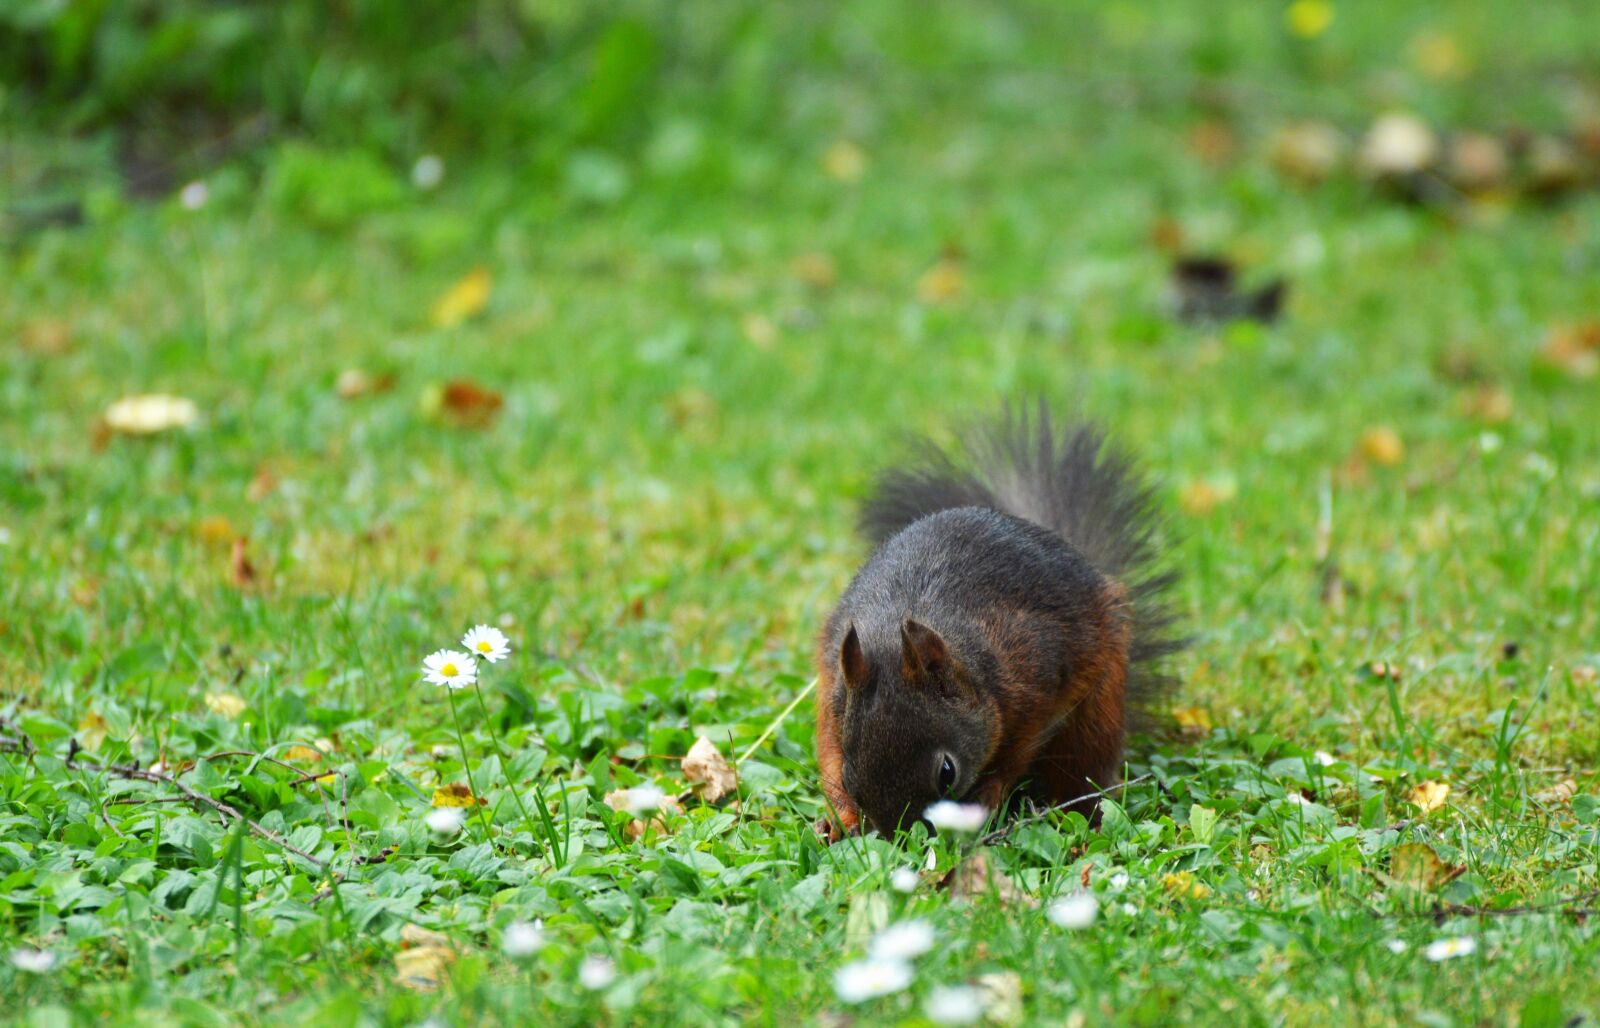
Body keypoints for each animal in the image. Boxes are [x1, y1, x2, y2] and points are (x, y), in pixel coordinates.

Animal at [814, 403, 1183, 838]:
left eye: (947, 773)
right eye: (851, 777)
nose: (900, 838)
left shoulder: (1034, 678)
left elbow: (1017, 753)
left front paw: (988, 795)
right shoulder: (833, 695)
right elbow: (829, 753)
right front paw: (841, 820)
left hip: (1097, 713)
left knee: (1080, 772)